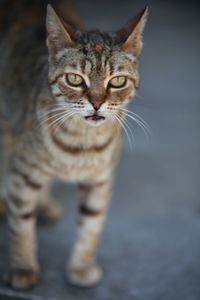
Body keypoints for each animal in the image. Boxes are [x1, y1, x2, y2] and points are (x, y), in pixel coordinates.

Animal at [0, 1, 147, 290]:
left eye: (117, 81)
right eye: (75, 79)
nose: (97, 103)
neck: (81, 145)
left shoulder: (100, 181)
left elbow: (91, 225)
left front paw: (81, 267)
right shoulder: (23, 172)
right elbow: (21, 224)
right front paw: (23, 267)